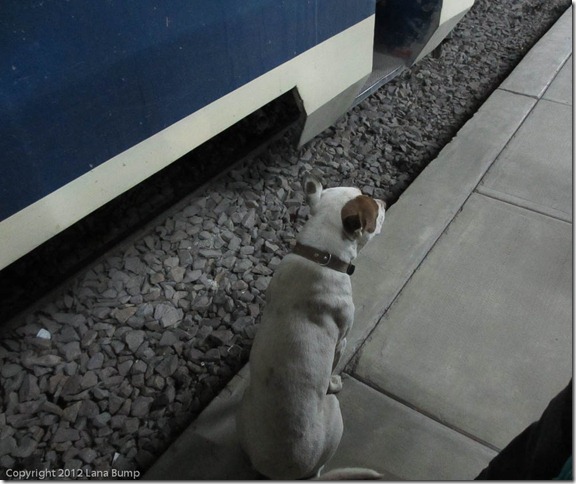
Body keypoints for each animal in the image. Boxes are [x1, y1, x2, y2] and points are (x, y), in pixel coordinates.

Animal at [236, 176, 384, 478]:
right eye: (375, 209)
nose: (384, 201)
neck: (320, 255)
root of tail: (281, 473)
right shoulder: (342, 341)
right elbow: (333, 367)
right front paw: (334, 381)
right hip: (335, 415)